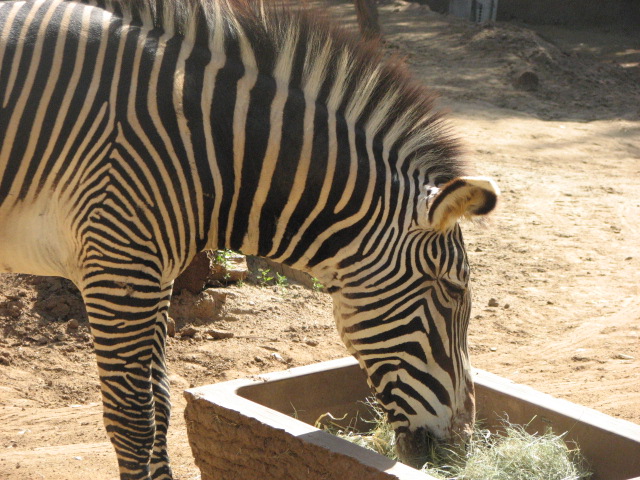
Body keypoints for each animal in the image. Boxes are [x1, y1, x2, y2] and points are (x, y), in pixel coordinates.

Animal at [0, 0, 499, 478]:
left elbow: (161, 404)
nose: (461, 447)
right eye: (453, 290)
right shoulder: (116, 268)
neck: (206, 144)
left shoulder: (154, 274)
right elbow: (135, 423)